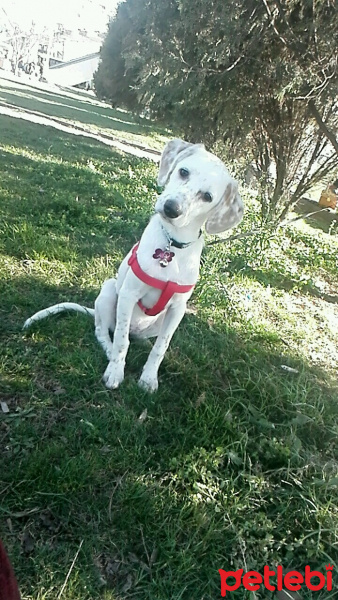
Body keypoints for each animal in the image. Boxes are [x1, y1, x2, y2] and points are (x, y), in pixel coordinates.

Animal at [25, 138, 244, 392]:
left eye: (207, 196)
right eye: (183, 172)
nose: (171, 208)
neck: (172, 244)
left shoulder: (177, 310)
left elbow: (160, 348)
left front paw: (149, 378)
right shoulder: (128, 294)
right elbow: (121, 340)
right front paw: (115, 371)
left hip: (158, 322)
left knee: (140, 339)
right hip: (109, 291)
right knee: (104, 331)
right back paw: (109, 351)